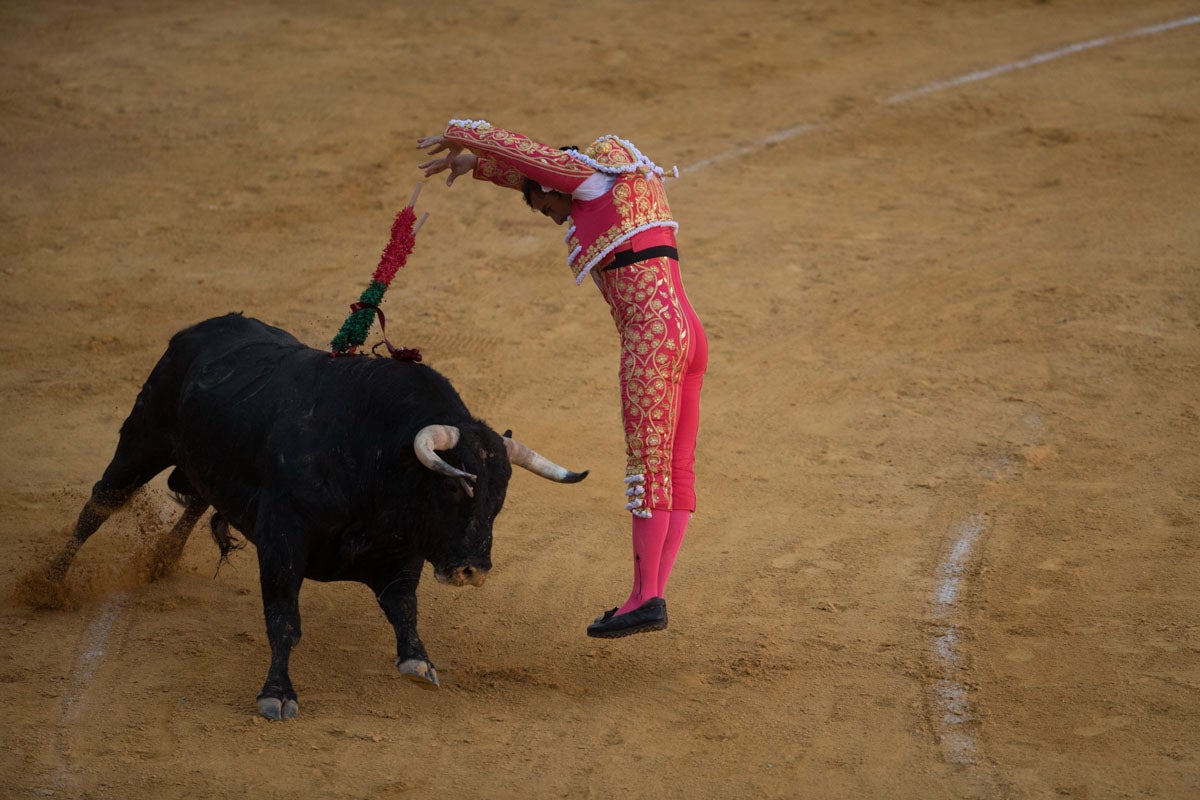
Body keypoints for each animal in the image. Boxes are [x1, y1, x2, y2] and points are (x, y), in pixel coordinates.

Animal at [44, 311, 588, 719]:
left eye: (499, 500)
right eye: (453, 490)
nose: (473, 571)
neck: (373, 449)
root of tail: (199, 329)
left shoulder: (401, 551)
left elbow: (403, 607)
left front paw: (418, 662)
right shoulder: (281, 542)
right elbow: (285, 620)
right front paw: (277, 696)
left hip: (200, 462)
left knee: (197, 500)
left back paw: (160, 561)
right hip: (143, 438)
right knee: (98, 506)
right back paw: (49, 585)